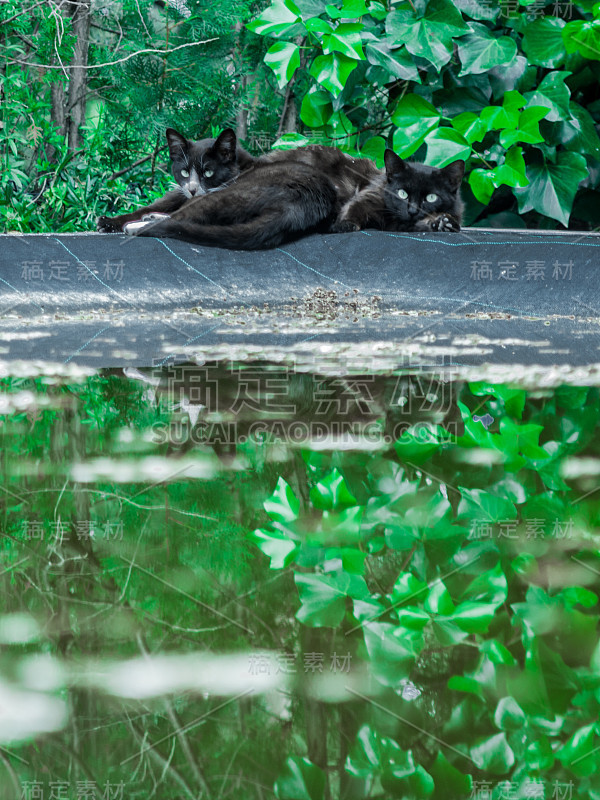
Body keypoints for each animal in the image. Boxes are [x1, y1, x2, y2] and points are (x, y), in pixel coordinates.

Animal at [332, 149, 464, 233]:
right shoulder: (370, 196)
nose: (412, 211)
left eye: (431, 197)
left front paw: (444, 223)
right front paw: (345, 224)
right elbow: (353, 207)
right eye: (402, 193)